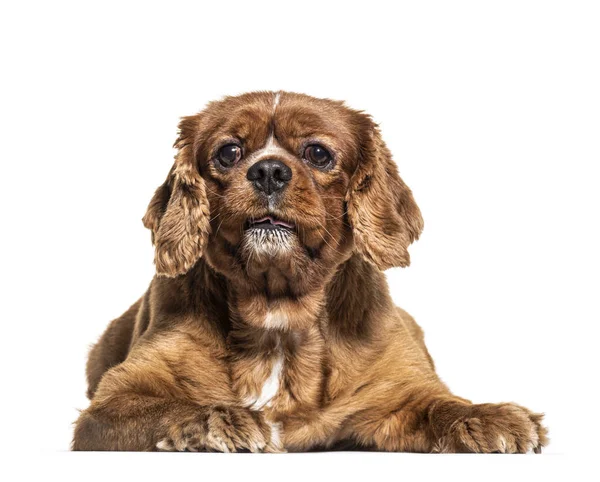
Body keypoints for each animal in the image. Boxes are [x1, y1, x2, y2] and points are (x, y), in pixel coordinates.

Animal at [71, 92, 548, 454]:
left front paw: (487, 416)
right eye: (229, 152)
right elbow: (169, 407)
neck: (279, 311)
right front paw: (222, 419)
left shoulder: (400, 397)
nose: (267, 170)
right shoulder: (110, 402)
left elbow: (441, 405)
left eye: (317, 153)